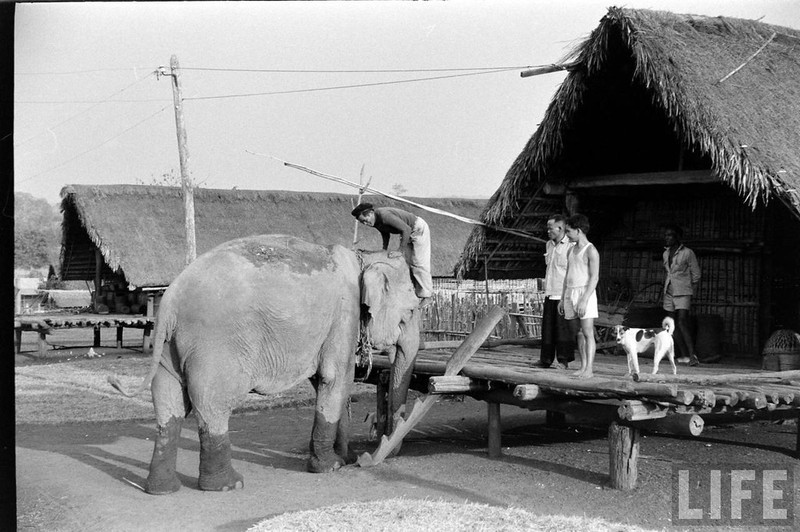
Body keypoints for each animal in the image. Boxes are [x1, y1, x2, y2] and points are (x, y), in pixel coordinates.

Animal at [113, 235, 424, 492]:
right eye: (410, 312)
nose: (365, 458)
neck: (364, 256)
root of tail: (170, 300)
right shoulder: (343, 315)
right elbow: (335, 378)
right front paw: (330, 467)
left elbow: (332, 383)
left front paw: (341, 458)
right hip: (215, 344)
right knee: (212, 403)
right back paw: (228, 485)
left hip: (169, 345)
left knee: (169, 404)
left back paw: (162, 489)